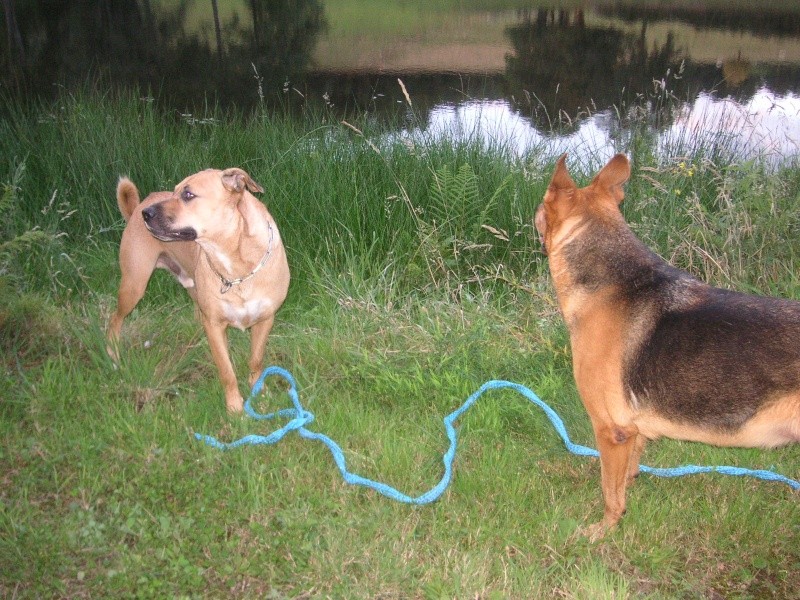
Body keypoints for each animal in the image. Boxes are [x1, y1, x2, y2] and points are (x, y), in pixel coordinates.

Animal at [107, 168, 290, 412]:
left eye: (188, 194)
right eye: (174, 191)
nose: (146, 214)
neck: (237, 265)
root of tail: (137, 205)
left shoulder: (265, 320)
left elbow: (256, 360)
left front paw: (259, 392)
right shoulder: (214, 325)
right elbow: (226, 371)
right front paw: (235, 408)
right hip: (134, 285)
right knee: (115, 319)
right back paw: (113, 354)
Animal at [536, 154, 796, 540]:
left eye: (541, 206)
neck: (614, 281)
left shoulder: (611, 430)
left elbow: (610, 492)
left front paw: (602, 530)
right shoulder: (632, 431)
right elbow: (626, 473)